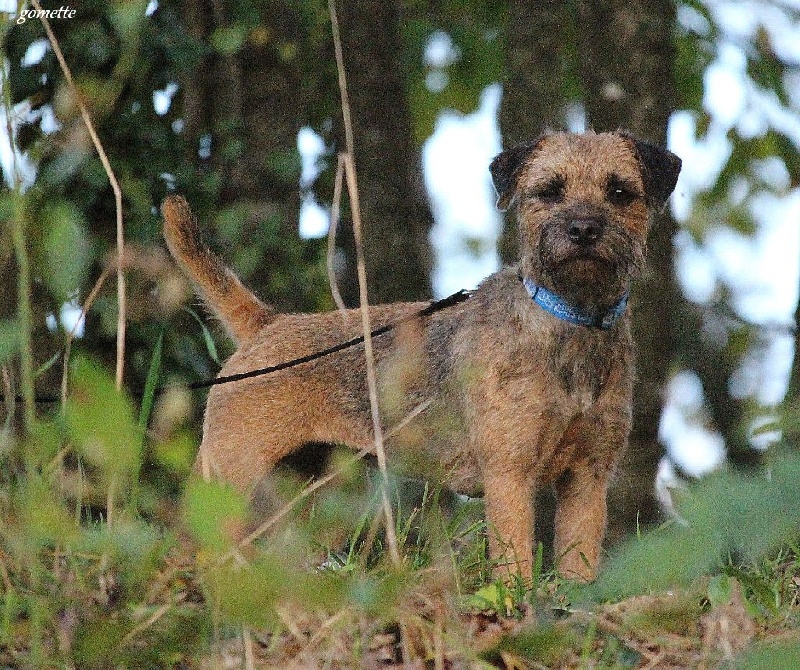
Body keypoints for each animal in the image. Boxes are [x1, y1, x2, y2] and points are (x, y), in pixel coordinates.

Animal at [162, 129, 681, 582]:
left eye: (620, 191)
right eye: (550, 191)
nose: (584, 229)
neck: (569, 320)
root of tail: (267, 324)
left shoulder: (587, 479)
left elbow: (579, 563)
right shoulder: (509, 472)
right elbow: (514, 563)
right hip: (228, 475)